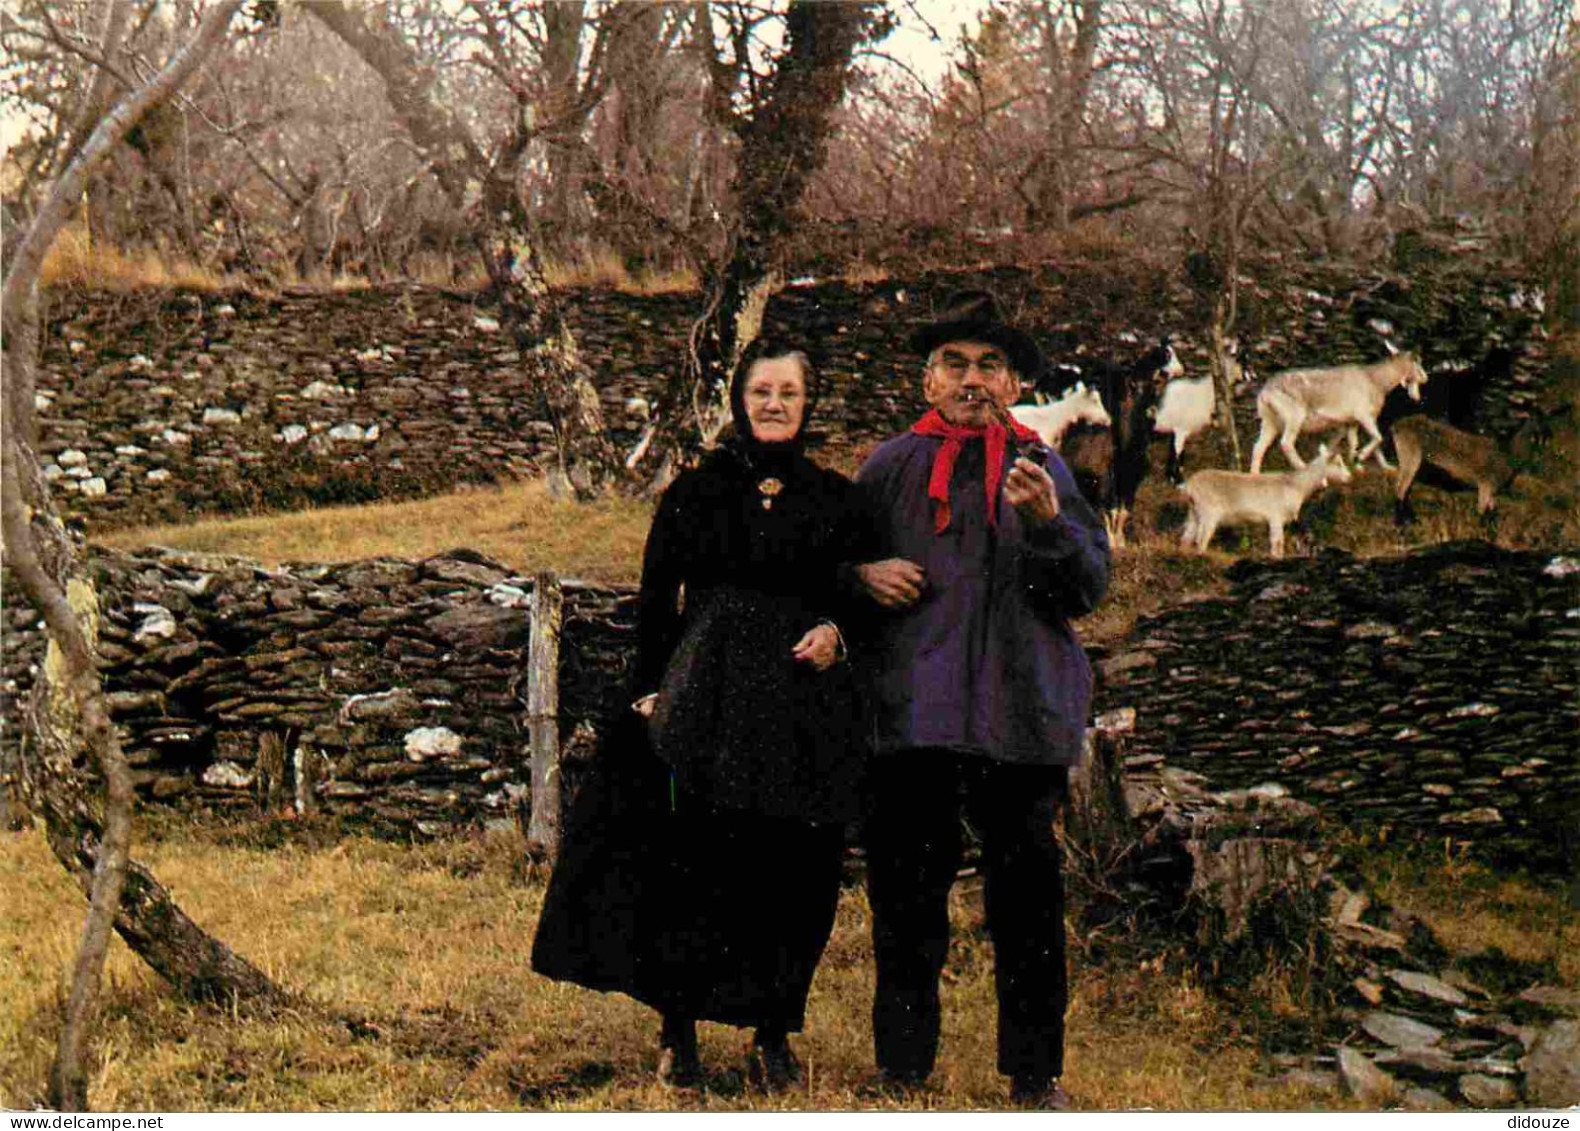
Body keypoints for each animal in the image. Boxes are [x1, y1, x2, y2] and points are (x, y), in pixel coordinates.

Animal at [1181, 445, 1352, 562]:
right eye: (1338, 463)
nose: (1349, 477)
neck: (1296, 486)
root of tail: (1189, 486)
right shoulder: (1276, 517)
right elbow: (1277, 543)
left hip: (1193, 512)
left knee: (1187, 537)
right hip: (1209, 512)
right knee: (1201, 538)